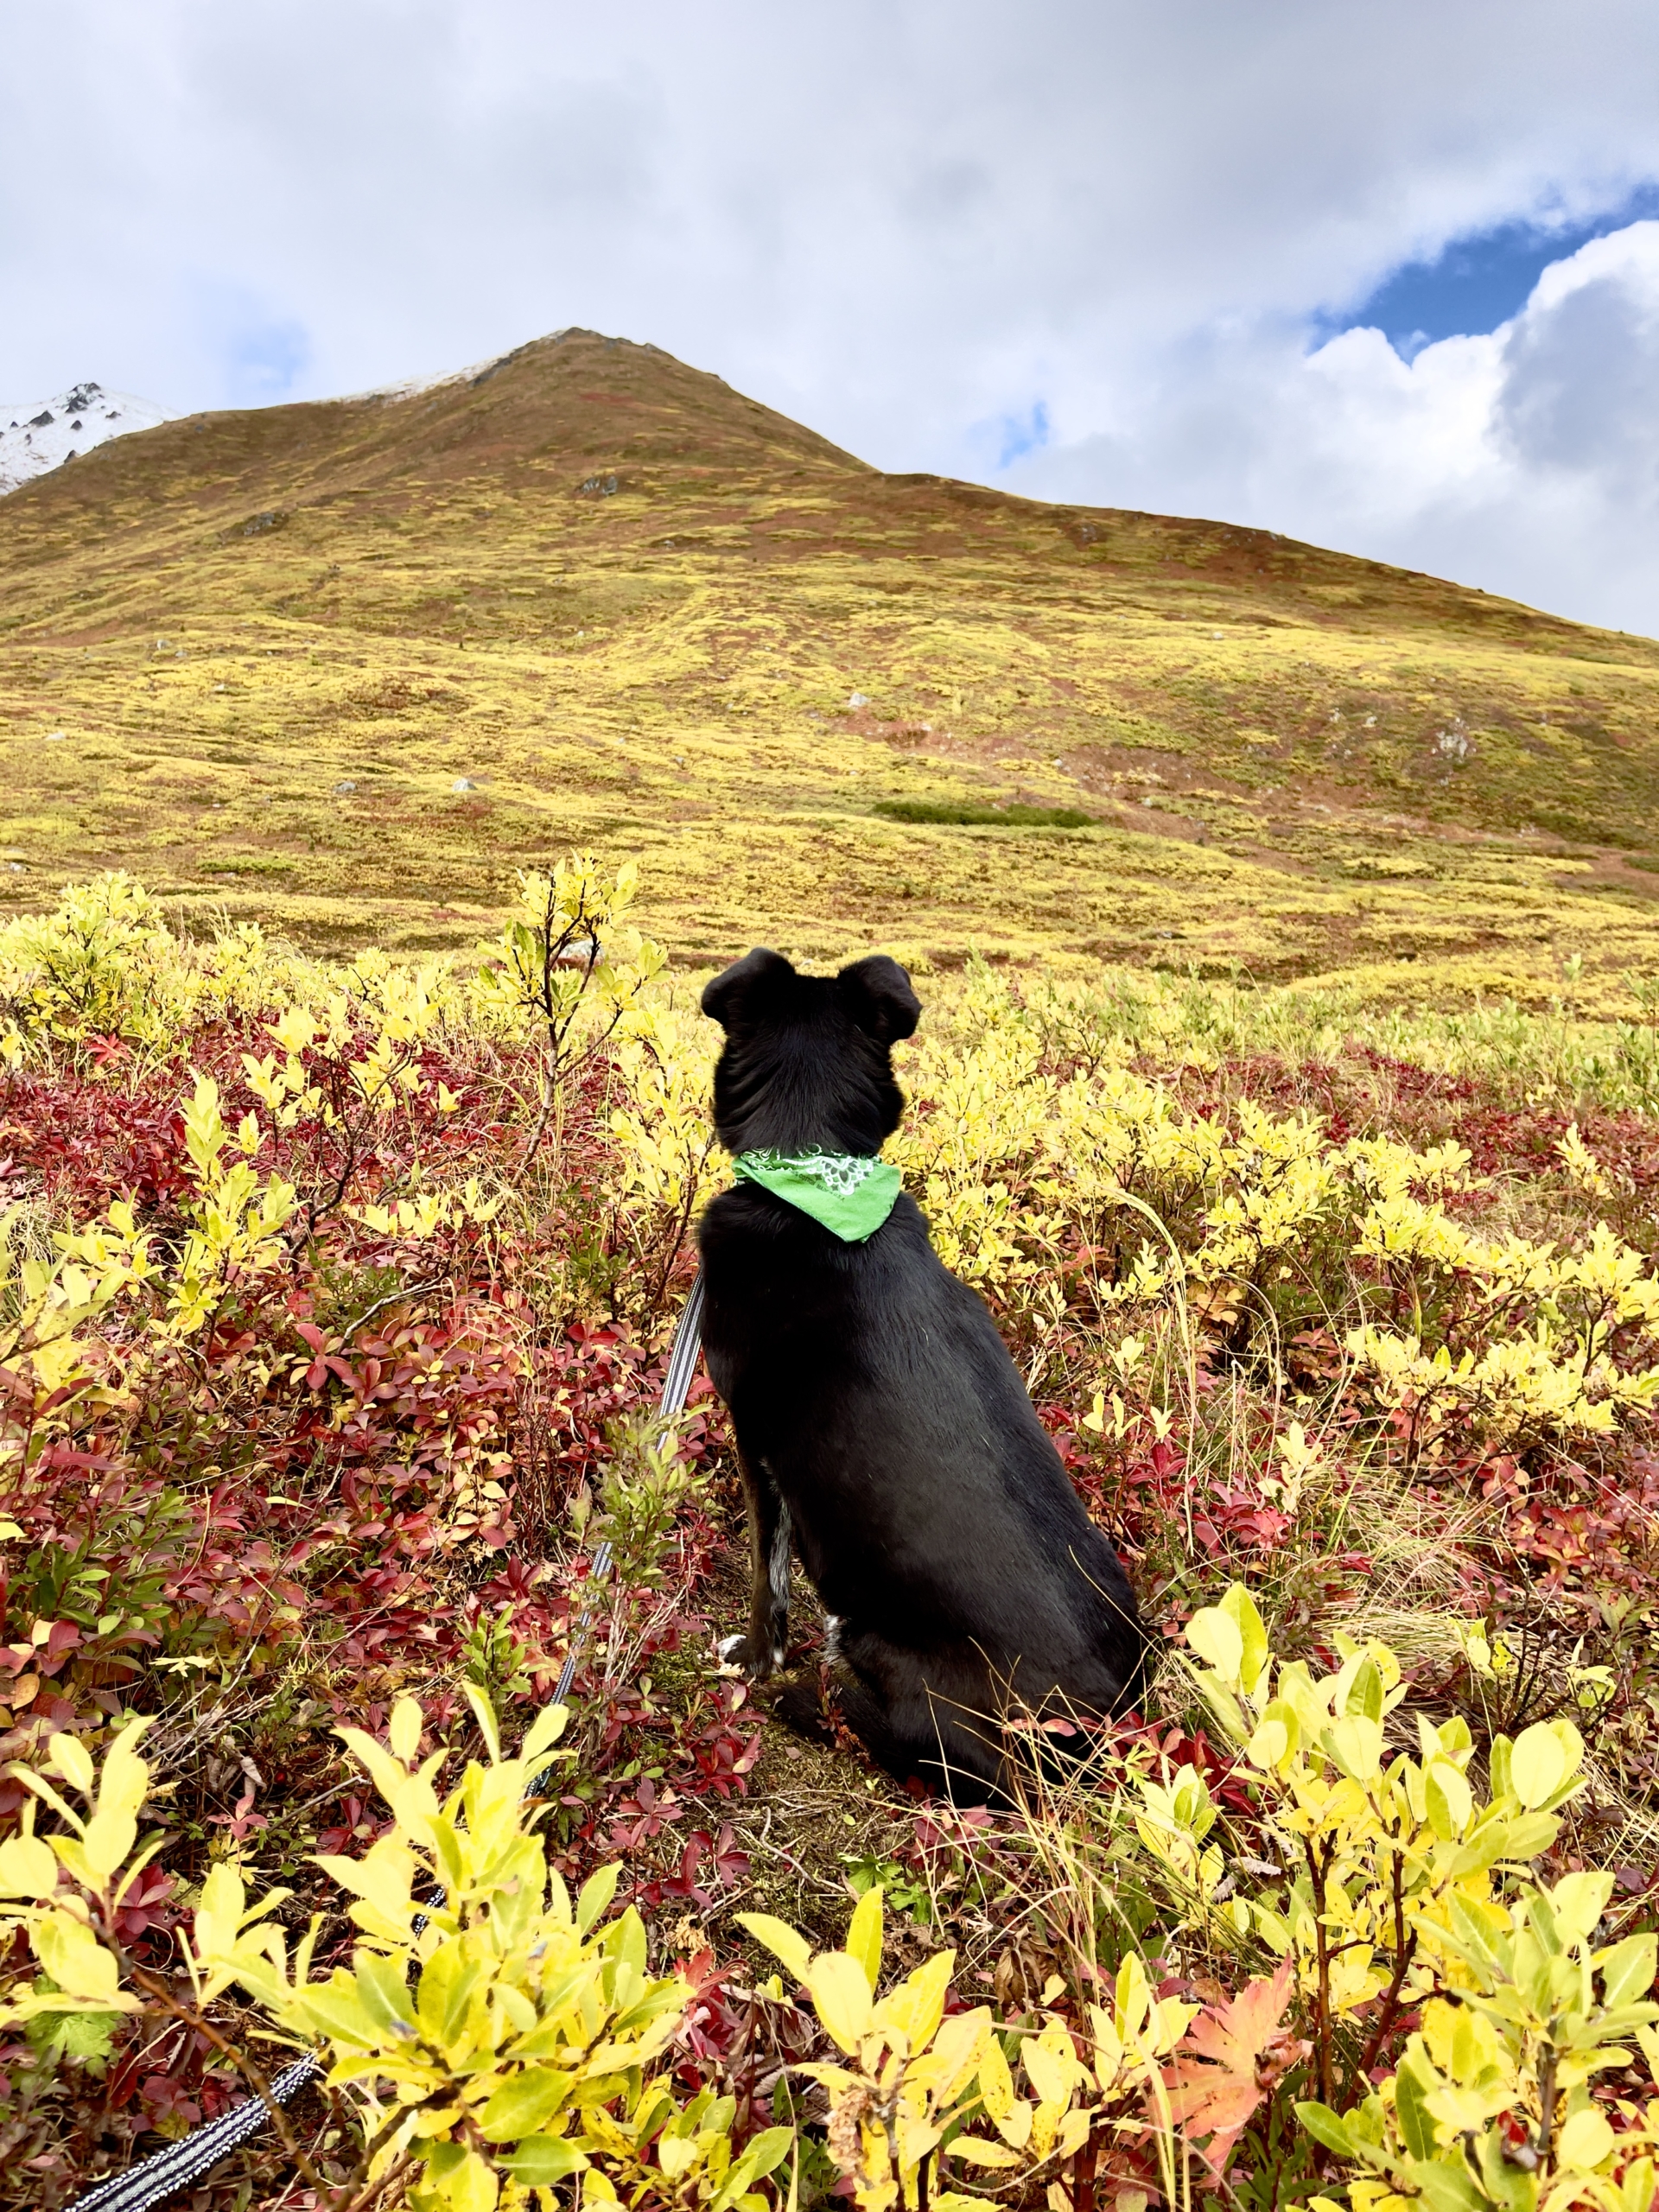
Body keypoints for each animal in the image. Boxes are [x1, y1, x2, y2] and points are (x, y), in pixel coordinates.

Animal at [694, 946, 1150, 1796]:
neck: (818, 1180)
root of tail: (1100, 1735)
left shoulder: (757, 1446)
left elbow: (767, 1584)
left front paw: (755, 1659)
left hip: (876, 1638)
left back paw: (813, 1705)